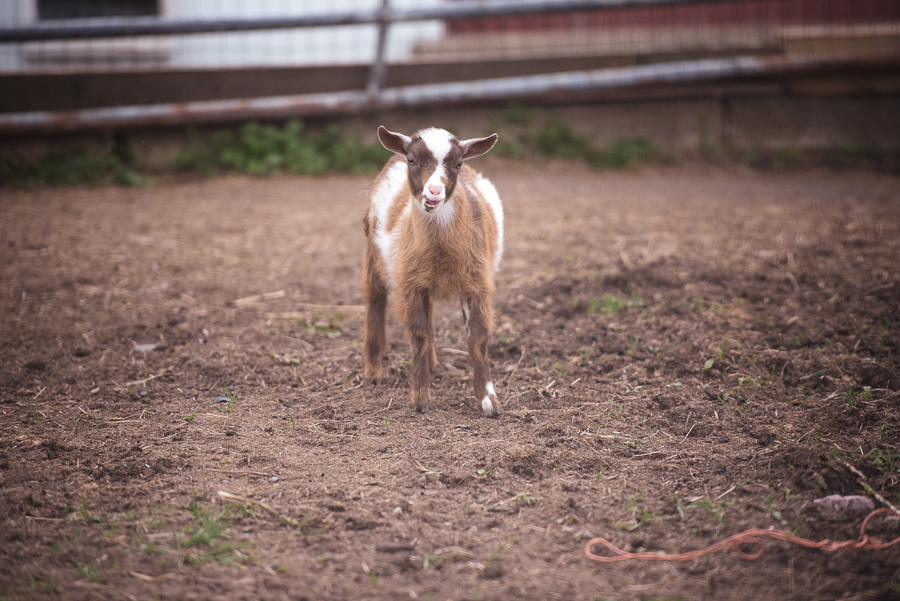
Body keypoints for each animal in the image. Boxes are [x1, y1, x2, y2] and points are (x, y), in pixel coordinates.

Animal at [360, 125, 502, 418]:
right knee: (375, 300)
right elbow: (419, 336)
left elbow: (478, 339)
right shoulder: (410, 284)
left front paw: (488, 400)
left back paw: (433, 364)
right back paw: (373, 369)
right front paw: (420, 397)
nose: (434, 191)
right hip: (374, 253)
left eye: (458, 164)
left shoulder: (475, 283)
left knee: (428, 311)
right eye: (412, 160)